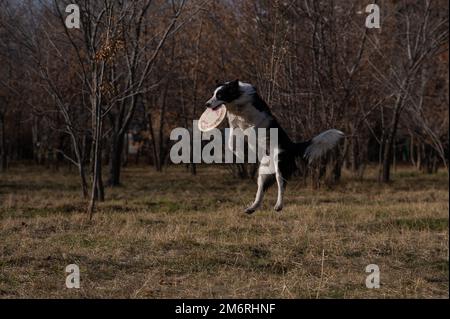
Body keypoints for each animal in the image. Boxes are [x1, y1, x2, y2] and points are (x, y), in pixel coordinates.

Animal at [206, 80, 342, 215]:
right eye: (213, 94)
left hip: (279, 166)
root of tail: (292, 146)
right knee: (261, 191)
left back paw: (278, 205)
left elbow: (251, 125)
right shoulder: (234, 125)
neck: (237, 100)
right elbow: (231, 139)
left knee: (281, 186)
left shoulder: (256, 118)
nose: (207, 104)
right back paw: (252, 208)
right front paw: (237, 152)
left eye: (220, 95)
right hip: (263, 172)